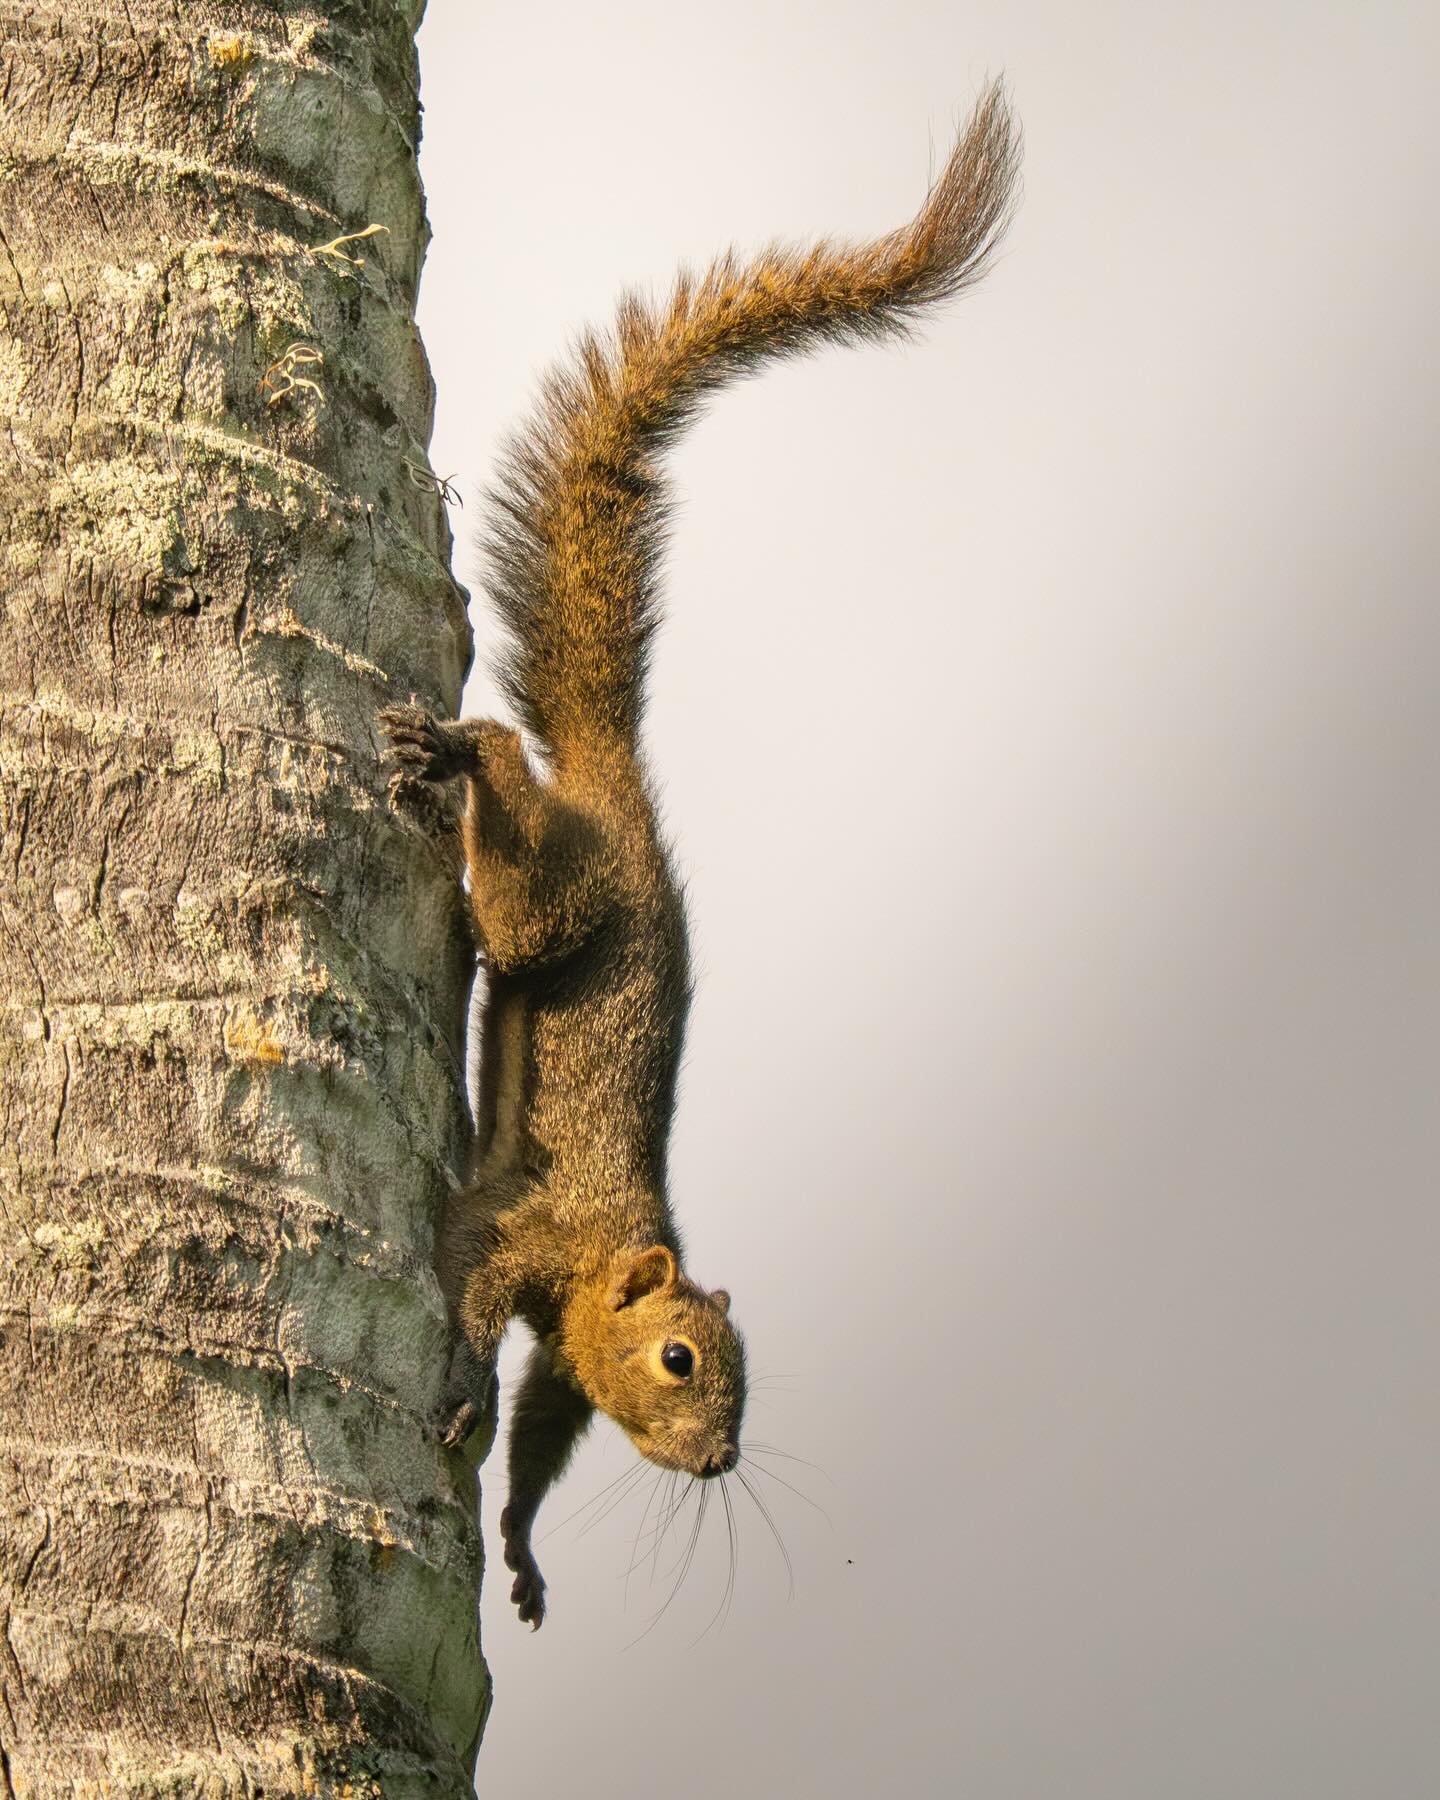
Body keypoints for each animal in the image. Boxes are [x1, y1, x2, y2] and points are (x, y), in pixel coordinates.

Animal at [381, 81, 1020, 1628]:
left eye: (743, 1379)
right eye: (678, 1360)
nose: (721, 1459)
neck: (614, 1254)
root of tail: (623, 795)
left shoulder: (565, 1349)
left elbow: (545, 1435)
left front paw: (520, 1550)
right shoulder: (527, 1239)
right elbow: (474, 1296)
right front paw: (455, 1401)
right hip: (563, 896)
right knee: (510, 828)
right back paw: (463, 755)